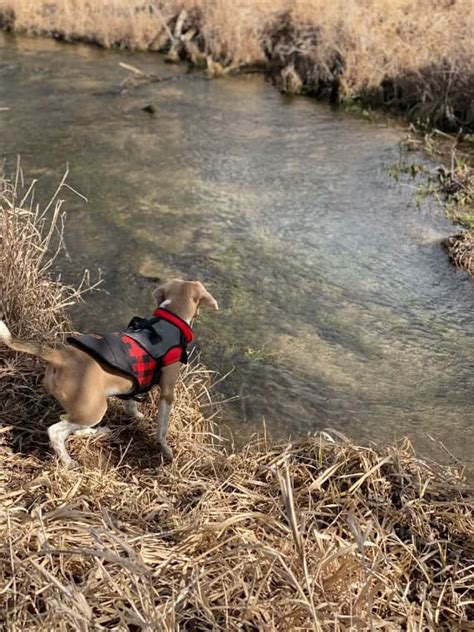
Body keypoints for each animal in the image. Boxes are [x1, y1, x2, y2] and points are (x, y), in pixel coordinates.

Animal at [0, 278, 218, 466]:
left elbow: (131, 404)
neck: (168, 320)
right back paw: (69, 462)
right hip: (93, 409)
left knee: (69, 424)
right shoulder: (167, 392)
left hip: (84, 409)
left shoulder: (134, 384)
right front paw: (165, 449)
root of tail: (60, 356)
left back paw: (91, 433)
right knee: (56, 431)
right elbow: (162, 427)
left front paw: (136, 415)